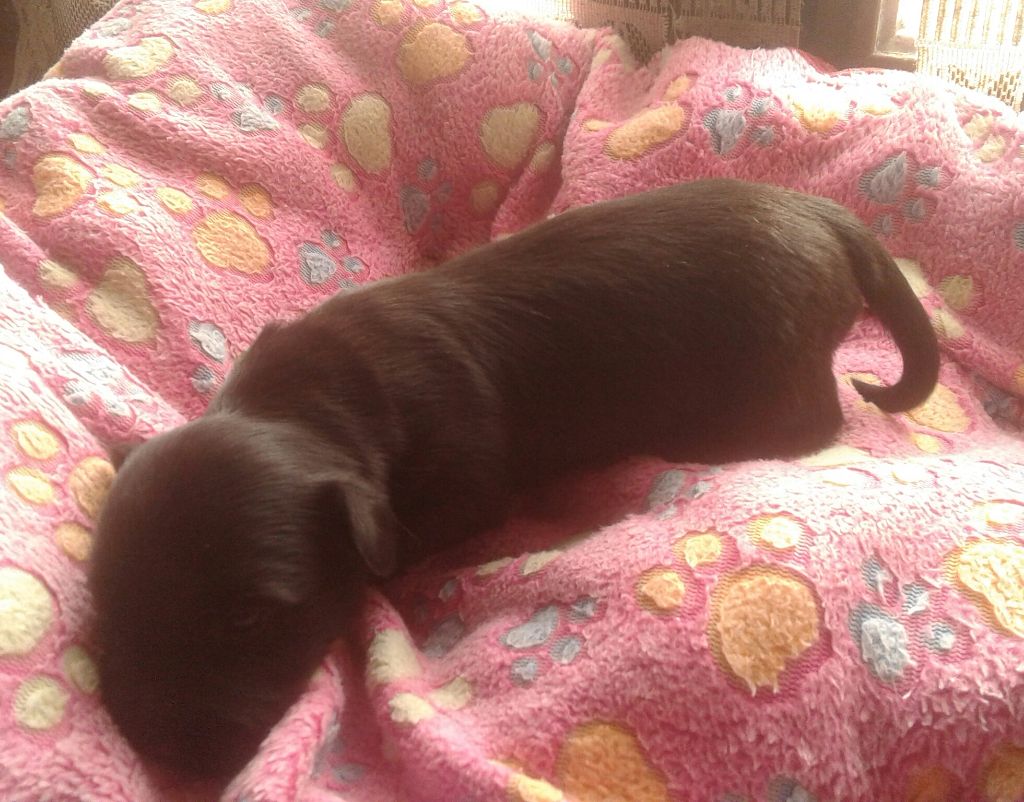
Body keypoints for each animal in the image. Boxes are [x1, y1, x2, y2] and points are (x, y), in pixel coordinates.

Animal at [89, 178, 940, 780]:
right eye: (112, 605)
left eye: (247, 620)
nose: (163, 754)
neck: (310, 400)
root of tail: (826, 215)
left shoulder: (461, 488)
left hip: (774, 367)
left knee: (819, 419)